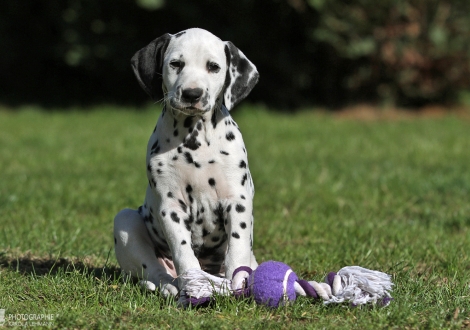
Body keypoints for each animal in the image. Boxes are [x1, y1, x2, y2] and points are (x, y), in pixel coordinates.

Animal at [114, 27, 260, 296]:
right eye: (176, 64)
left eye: (213, 67)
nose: (192, 93)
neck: (196, 138)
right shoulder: (170, 206)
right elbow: (183, 251)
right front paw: (193, 283)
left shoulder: (237, 201)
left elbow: (237, 248)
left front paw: (239, 284)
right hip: (126, 221)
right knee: (153, 270)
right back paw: (167, 286)